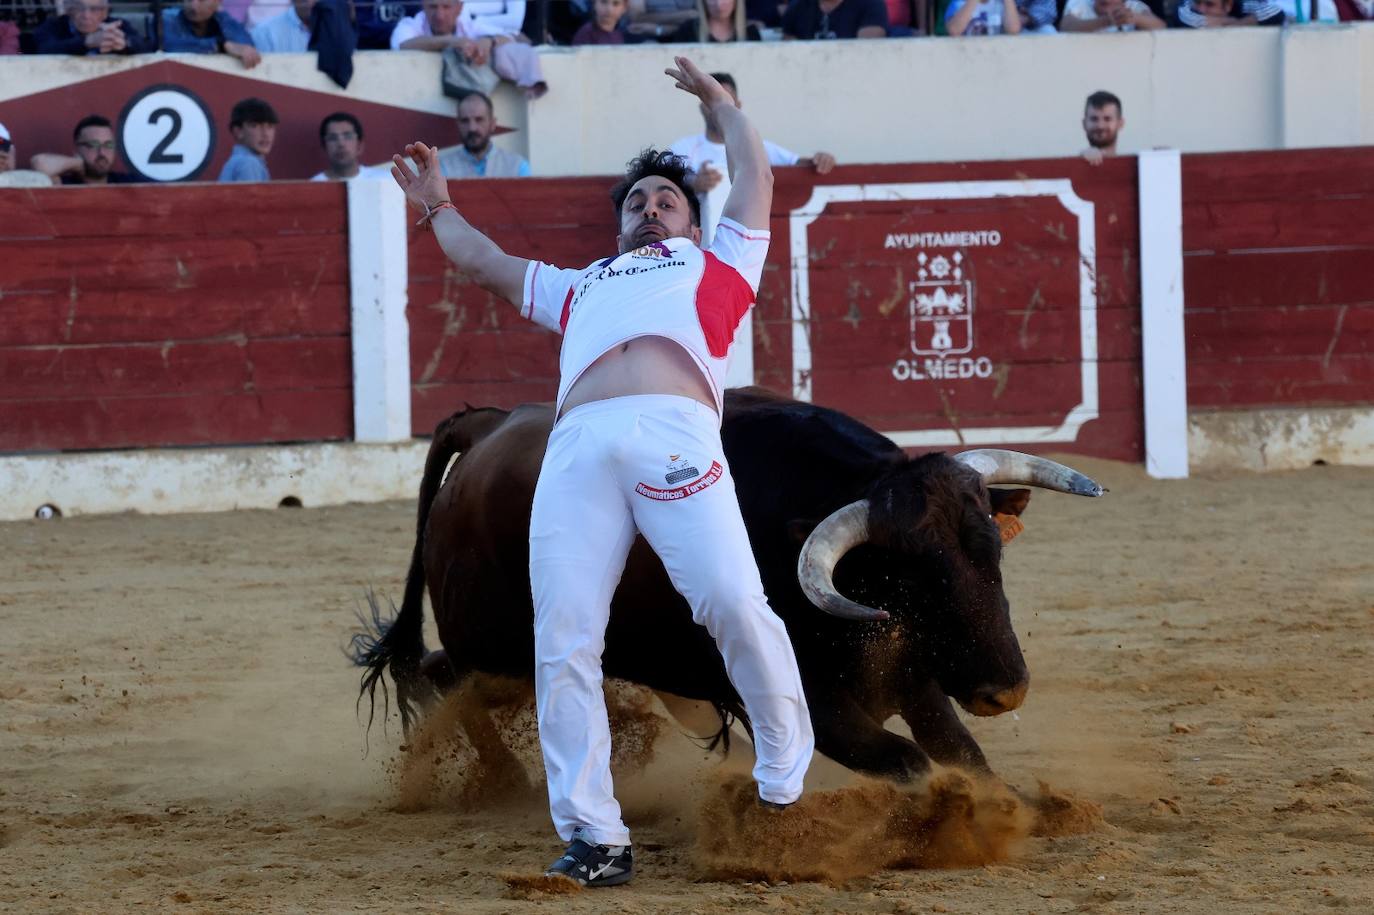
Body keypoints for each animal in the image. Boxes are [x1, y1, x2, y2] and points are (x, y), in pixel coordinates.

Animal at [354, 384, 1104, 774]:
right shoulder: (815, 701)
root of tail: (487, 427)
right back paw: (504, 778)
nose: (1006, 689)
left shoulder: (912, 679)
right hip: (498, 645)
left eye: (992, 555)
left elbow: (962, 753)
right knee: (444, 676)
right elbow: (910, 761)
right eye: (912, 581)